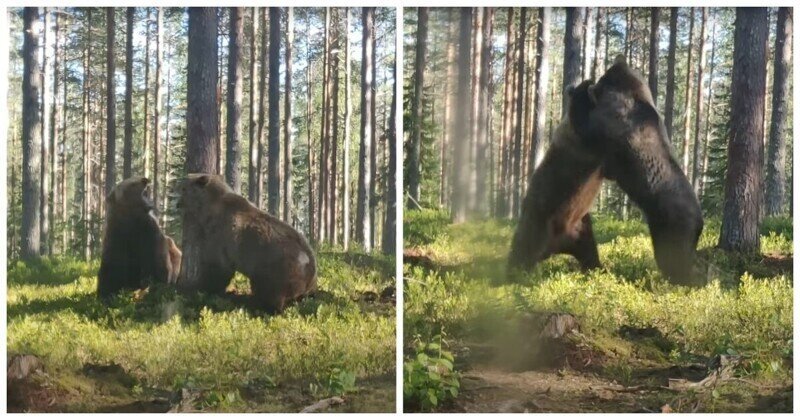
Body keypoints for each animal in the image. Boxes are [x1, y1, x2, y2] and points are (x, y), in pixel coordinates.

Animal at [177, 172, 318, 314]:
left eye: (183, 188)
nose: (177, 203)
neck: (209, 210)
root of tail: (308, 262)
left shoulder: (221, 235)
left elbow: (218, 267)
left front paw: (204, 288)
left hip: (276, 268)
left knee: (268, 291)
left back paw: (260, 305)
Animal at [510, 79, 604, 276]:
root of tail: (556, 246)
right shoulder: (579, 141)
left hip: (580, 227)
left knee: (589, 249)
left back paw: (597, 268)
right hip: (538, 218)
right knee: (523, 246)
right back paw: (515, 272)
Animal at [584, 55, 704, 286]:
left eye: (604, 77)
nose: (597, 78)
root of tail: (701, 223)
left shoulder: (611, 120)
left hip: (673, 234)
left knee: (679, 264)